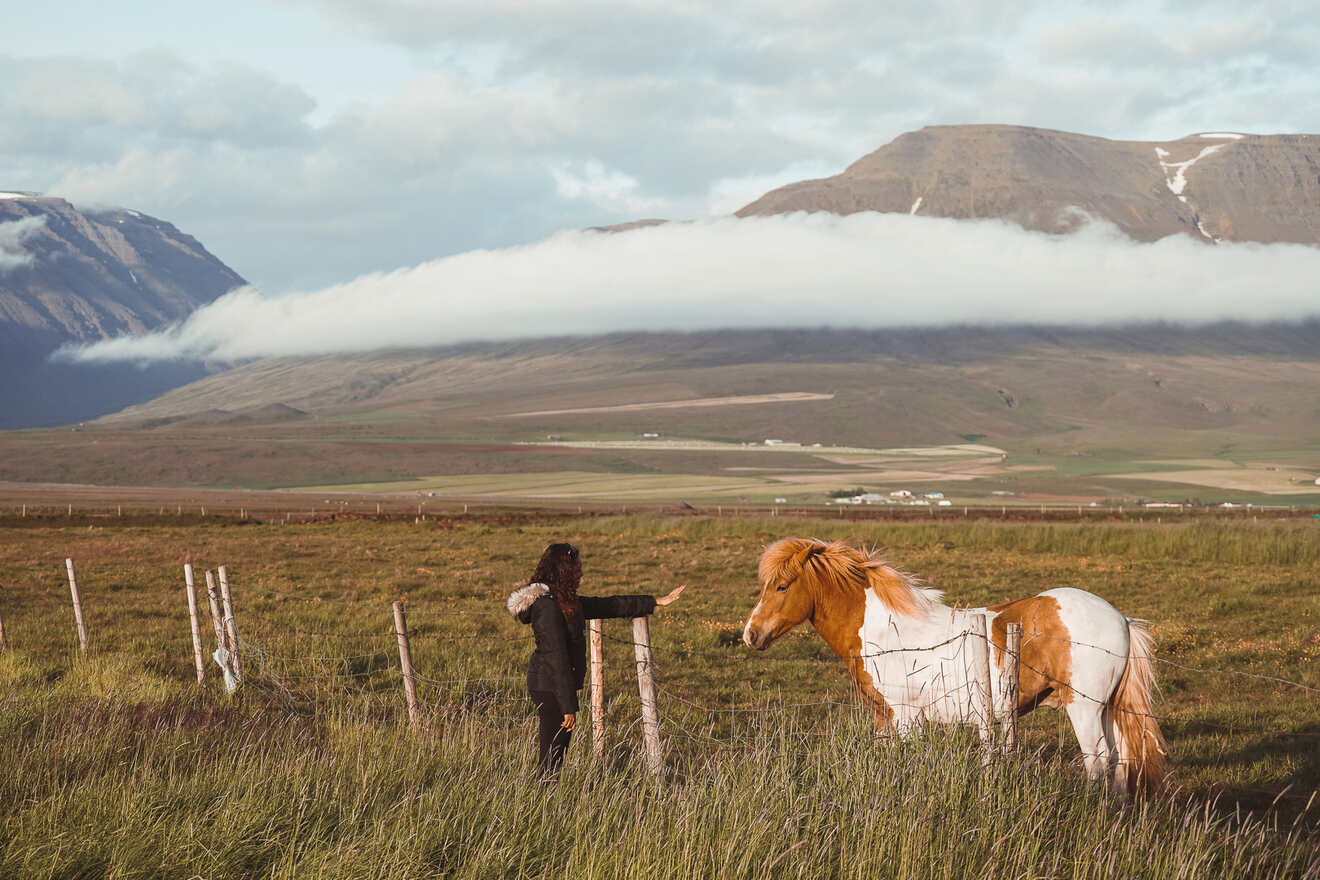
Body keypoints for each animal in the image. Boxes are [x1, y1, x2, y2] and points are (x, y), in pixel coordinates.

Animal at [744, 538, 1166, 796]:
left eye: (782, 586)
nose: (751, 634)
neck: (887, 628)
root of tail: (1120, 618)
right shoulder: (884, 718)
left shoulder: (907, 717)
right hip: (1109, 710)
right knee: (1122, 760)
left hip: (1084, 708)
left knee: (1099, 760)